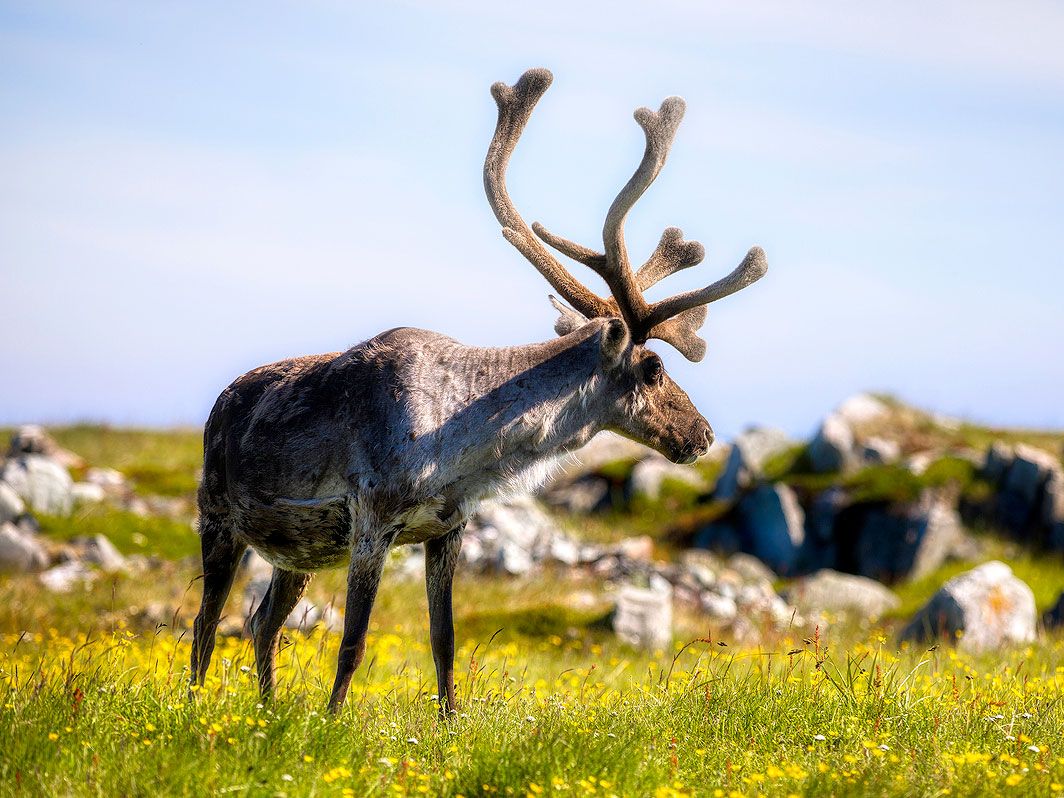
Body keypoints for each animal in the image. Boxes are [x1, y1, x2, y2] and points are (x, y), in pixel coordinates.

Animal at [190, 67, 767, 714]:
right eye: (655, 369)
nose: (703, 434)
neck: (460, 446)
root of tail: (219, 402)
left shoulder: (448, 528)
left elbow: (444, 640)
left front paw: (447, 725)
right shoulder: (372, 520)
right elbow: (353, 643)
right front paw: (332, 723)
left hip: (300, 550)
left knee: (262, 621)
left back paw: (266, 710)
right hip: (219, 518)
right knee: (207, 625)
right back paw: (195, 706)